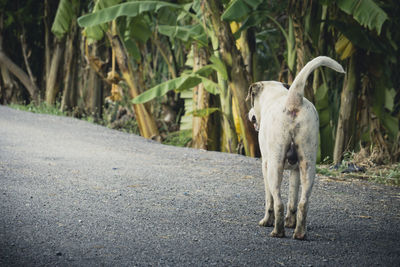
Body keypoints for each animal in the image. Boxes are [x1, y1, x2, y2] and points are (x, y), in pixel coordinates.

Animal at [247, 56, 344, 241]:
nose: (249, 114)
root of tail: (293, 100)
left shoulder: (265, 166)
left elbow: (269, 199)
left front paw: (266, 221)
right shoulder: (296, 170)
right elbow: (292, 198)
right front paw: (290, 222)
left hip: (275, 166)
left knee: (278, 202)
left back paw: (277, 231)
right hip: (308, 165)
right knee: (302, 203)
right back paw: (299, 232)